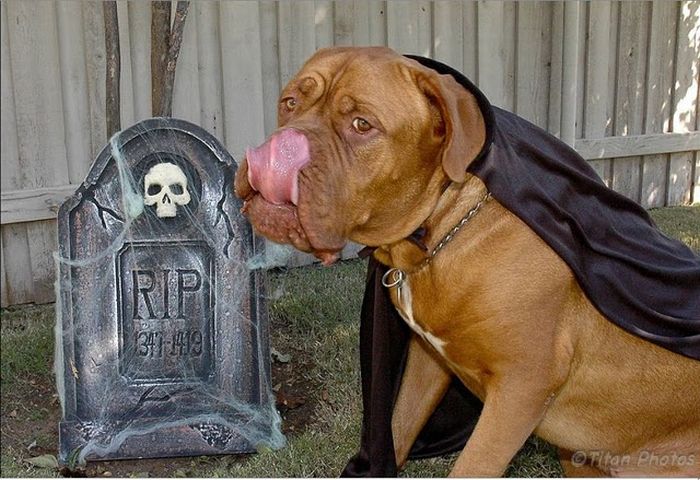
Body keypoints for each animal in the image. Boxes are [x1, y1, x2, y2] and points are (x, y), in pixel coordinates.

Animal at [234, 46, 700, 477]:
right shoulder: (428, 359)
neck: (438, 234)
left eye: (362, 125)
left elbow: (472, 464)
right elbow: (399, 428)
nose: (277, 151)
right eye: (290, 102)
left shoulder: (520, 389)